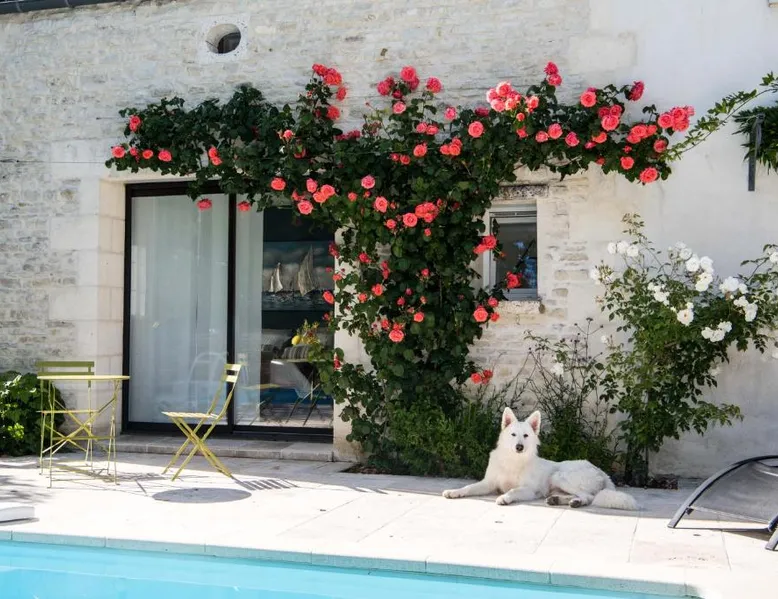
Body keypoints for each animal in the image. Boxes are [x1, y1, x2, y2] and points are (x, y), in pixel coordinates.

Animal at [442, 408, 637, 510]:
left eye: (526, 436)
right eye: (513, 435)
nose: (519, 447)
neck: (513, 461)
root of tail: (600, 471)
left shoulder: (528, 490)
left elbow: (513, 490)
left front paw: (504, 498)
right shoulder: (488, 483)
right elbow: (468, 487)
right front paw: (454, 492)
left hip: (559, 476)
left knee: (588, 496)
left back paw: (576, 502)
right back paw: (559, 500)